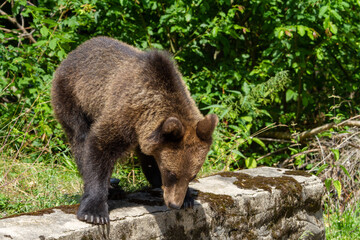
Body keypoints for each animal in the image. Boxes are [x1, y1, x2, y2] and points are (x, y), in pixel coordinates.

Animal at [51, 36, 218, 225]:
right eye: (171, 173)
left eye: (192, 175)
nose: (175, 204)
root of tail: (75, 51)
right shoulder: (123, 115)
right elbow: (99, 148)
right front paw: (94, 212)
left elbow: (150, 158)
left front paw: (188, 196)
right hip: (72, 97)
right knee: (80, 139)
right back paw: (113, 188)